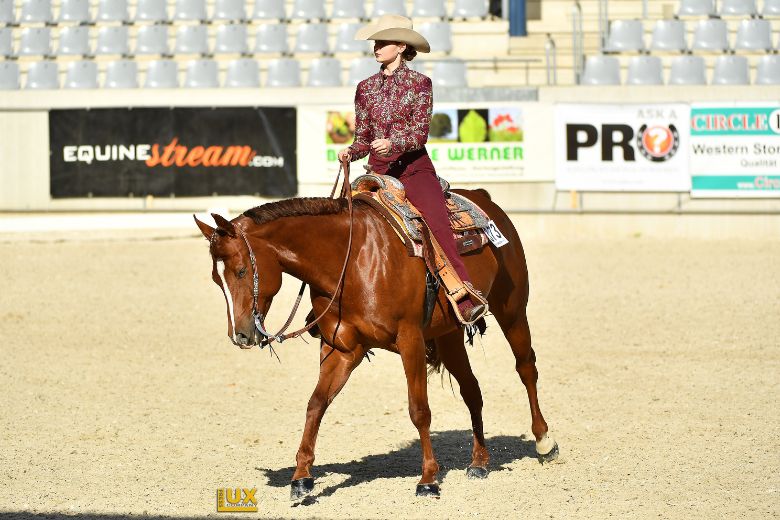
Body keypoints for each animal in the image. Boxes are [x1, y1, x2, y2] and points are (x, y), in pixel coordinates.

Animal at [193, 180, 558, 499]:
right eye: (215, 278)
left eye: (241, 270)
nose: (240, 335)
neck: (351, 259)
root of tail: (484, 198)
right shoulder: (342, 349)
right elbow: (316, 404)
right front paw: (301, 477)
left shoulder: (410, 339)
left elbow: (419, 410)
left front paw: (428, 479)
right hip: (449, 335)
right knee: (472, 389)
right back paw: (479, 462)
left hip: (512, 309)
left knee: (526, 368)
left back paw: (543, 441)